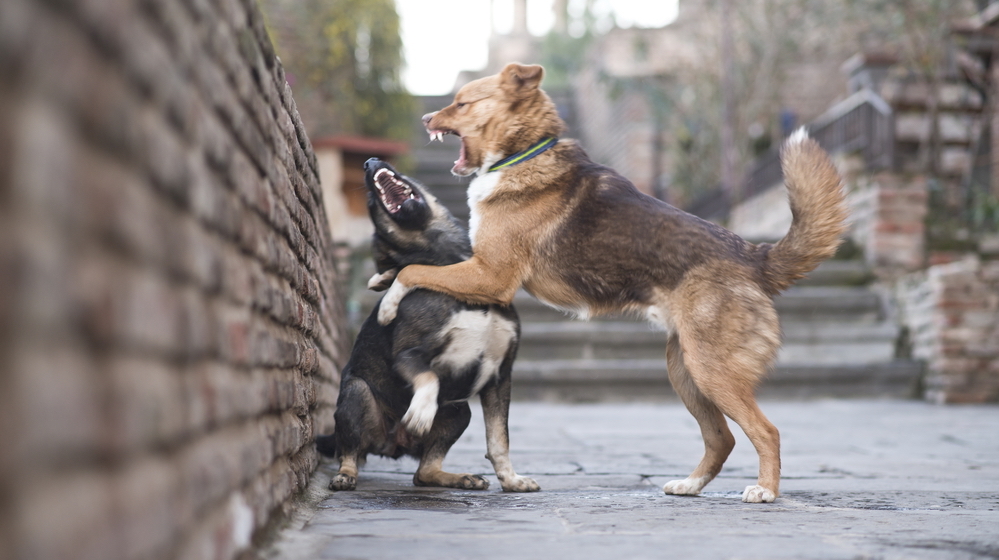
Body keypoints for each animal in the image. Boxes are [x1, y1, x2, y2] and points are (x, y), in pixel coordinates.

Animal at [318, 160, 540, 492]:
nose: (369, 162)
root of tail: (392, 445)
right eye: (370, 205)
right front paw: (421, 411)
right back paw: (346, 475)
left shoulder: (500, 377)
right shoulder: (409, 354)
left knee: (424, 472)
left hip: (459, 411)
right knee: (350, 451)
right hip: (358, 395)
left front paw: (512, 481)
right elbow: (429, 377)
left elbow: (499, 438)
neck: (458, 275)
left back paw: (459, 478)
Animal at [378, 62, 848, 504]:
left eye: (461, 103)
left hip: (712, 370)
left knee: (766, 431)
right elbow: (411, 268)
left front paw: (387, 304)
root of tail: (753, 256)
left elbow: (413, 271)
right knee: (722, 438)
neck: (524, 152)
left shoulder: (491, 276)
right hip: (685, 369)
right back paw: (690, 485)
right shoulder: (480, 271)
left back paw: (764, 490)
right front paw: (380, 280)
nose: (425, 117)